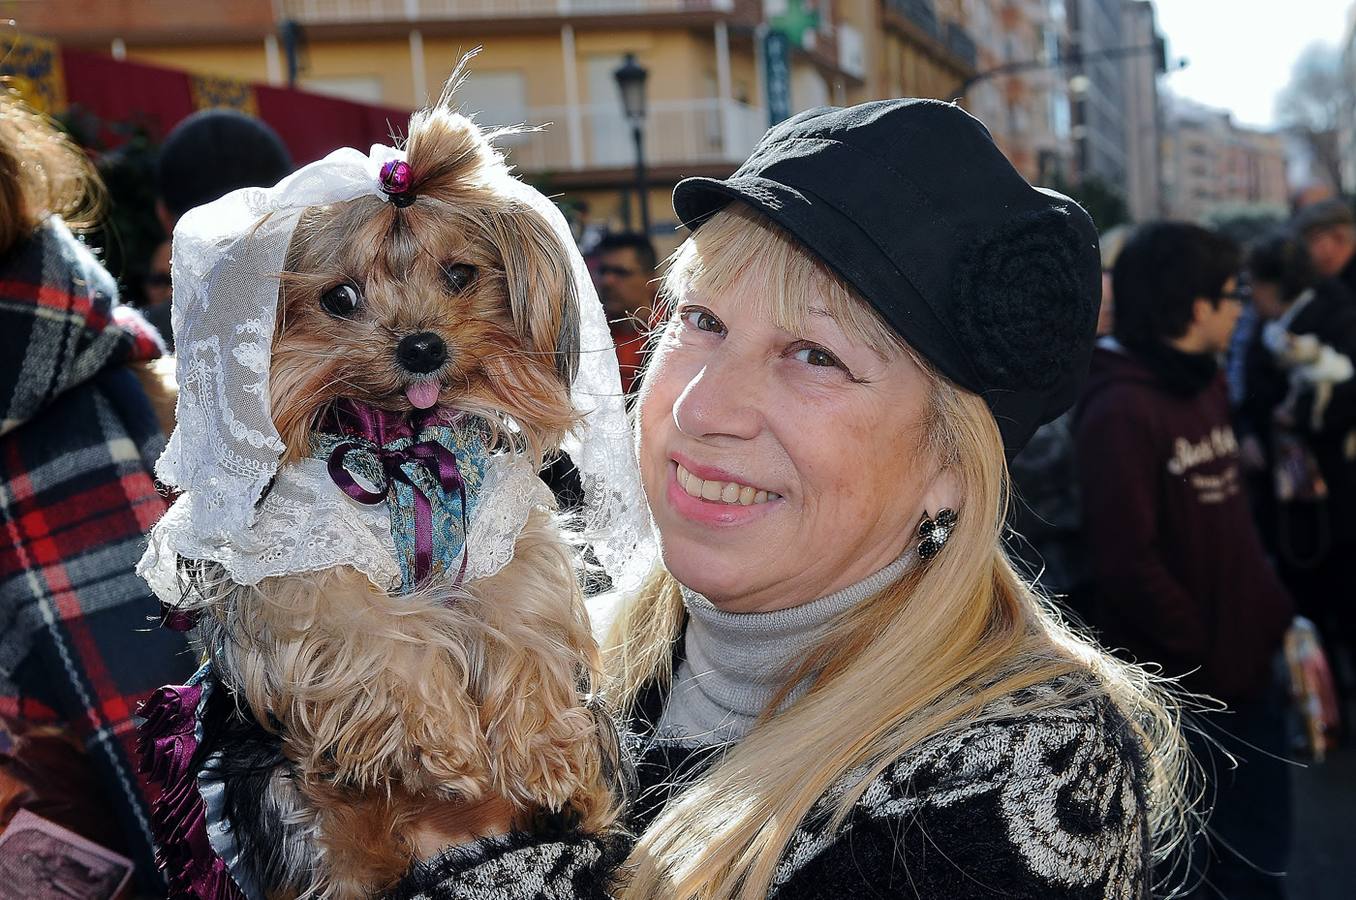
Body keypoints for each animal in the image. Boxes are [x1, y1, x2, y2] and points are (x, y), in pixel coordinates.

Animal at [145, 82, 631, 894]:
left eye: (461, 275)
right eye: (340, 299)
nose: (423, 346)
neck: (403, 445)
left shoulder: (505, 543)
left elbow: (522, 624)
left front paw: (546, 754)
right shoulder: (305, 573)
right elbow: (381, 636)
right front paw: (445, 748)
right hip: (295, 816)